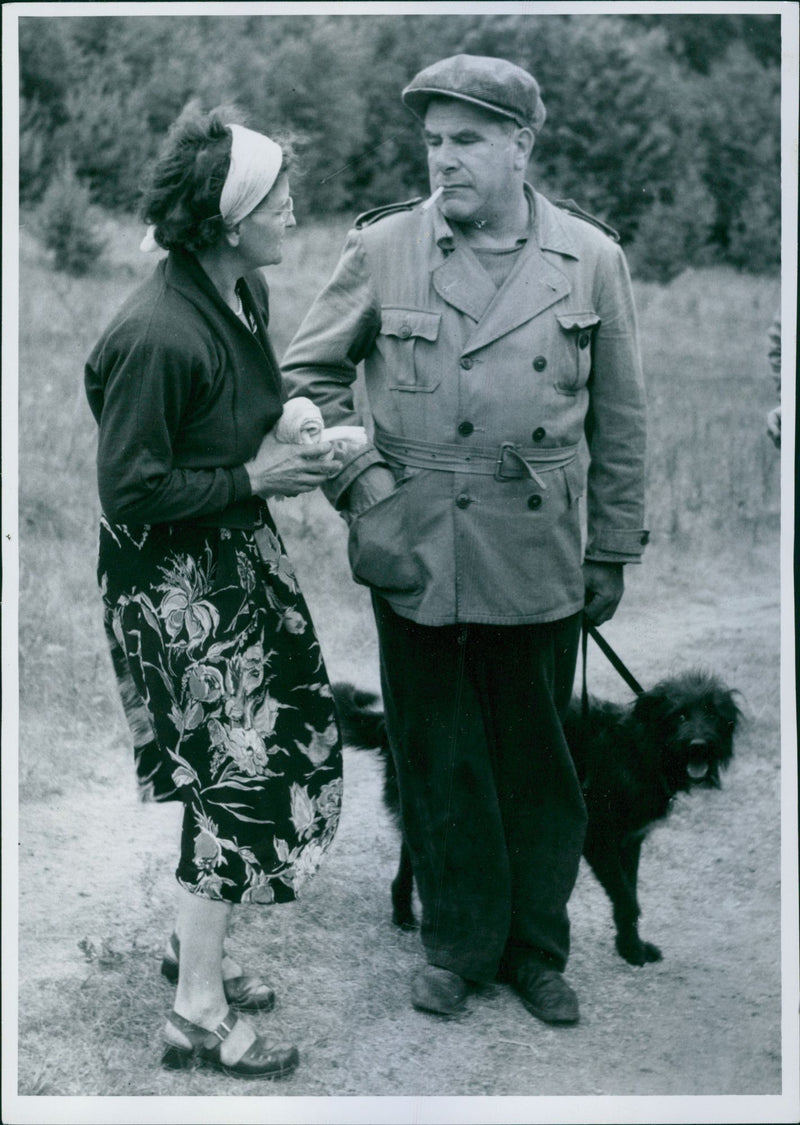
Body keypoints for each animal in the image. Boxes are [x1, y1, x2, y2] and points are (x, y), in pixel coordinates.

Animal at [330, 670, 738, 963]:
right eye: (679, 715)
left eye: (712, 715)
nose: (699, 745)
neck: (640, 748)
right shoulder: (599, 840)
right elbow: (626, 898)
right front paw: (632, 951)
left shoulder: (630, 842)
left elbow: (631, 896)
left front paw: (630, 946)